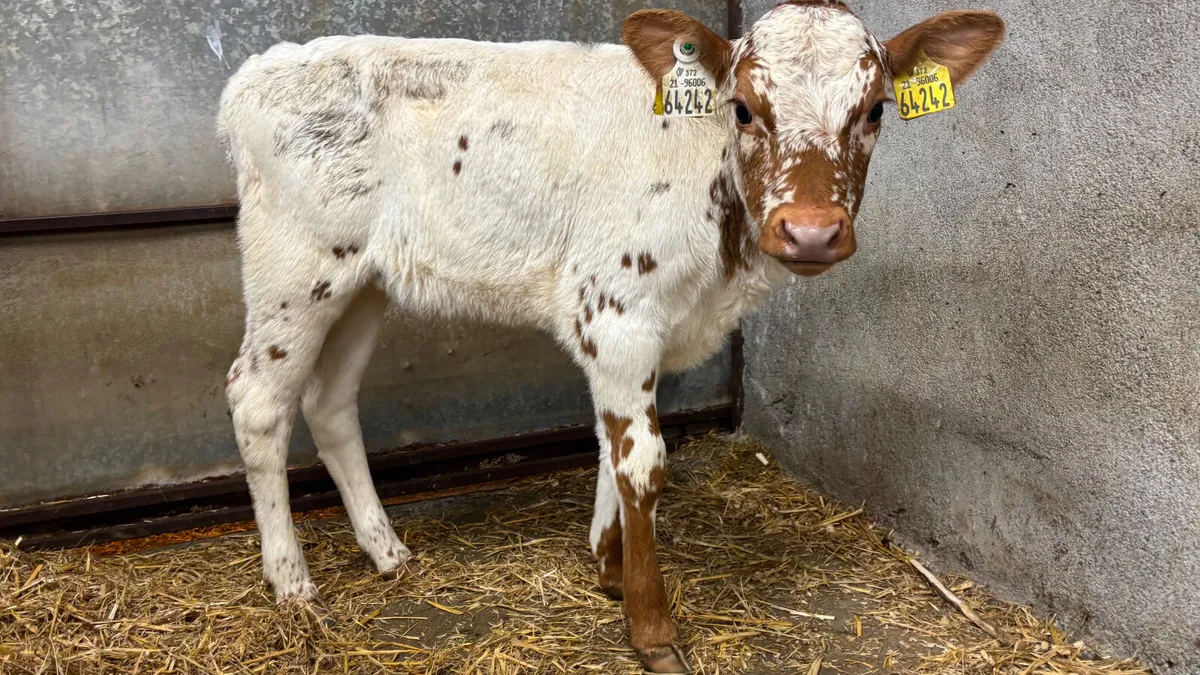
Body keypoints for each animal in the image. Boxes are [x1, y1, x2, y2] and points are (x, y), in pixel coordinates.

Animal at [217, 1, 1004, 671]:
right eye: (744, 109)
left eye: (875, 110)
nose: (812, 231)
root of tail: (262, 68)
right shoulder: (618, 310)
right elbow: (643, 461)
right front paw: (650, 625)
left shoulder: (628, 334)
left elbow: (609, 441)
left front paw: (608, 568)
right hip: (295, 267)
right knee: (258, 400)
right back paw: (292, 583)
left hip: (364, 281)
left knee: (329, 402)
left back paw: (386, 550)